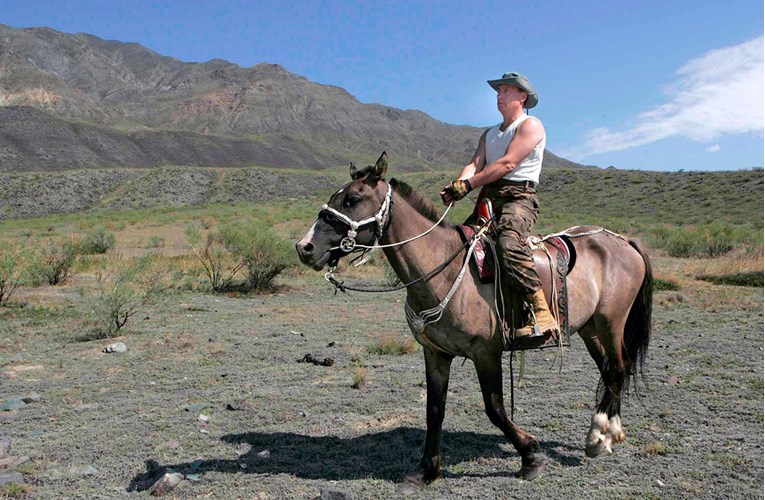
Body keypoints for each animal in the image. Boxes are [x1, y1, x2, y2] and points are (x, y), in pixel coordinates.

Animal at [294, 152, 652, 488]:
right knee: (611, 370)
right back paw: (609, 435)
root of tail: (622, 240)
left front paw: (530, 455)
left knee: (617, 368)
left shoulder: (486, 353)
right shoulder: (436, 353)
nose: (304, 247)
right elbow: (434, 410)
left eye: (353, 199)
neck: (442, 267)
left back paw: (597, 436)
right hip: (589, 329)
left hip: (611, 322)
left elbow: (495, 408)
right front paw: (427, 470)